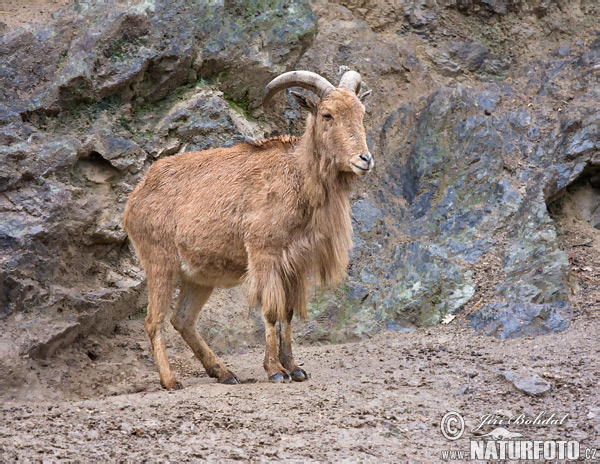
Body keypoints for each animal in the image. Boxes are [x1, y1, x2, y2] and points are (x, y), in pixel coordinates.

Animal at [121, 69, 372, 388]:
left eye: (362, 113)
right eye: (327, 114)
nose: (364, 159)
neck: (297, 176)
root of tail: (135, 197)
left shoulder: (294, 264)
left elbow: (288, 313)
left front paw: (295, 368)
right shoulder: (265, 255)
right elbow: (271, 311)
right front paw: (275, 370)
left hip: (198, 276)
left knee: (183, 319)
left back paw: (224, 373)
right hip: (159, 261)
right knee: (154, 320)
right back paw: (171, 380)